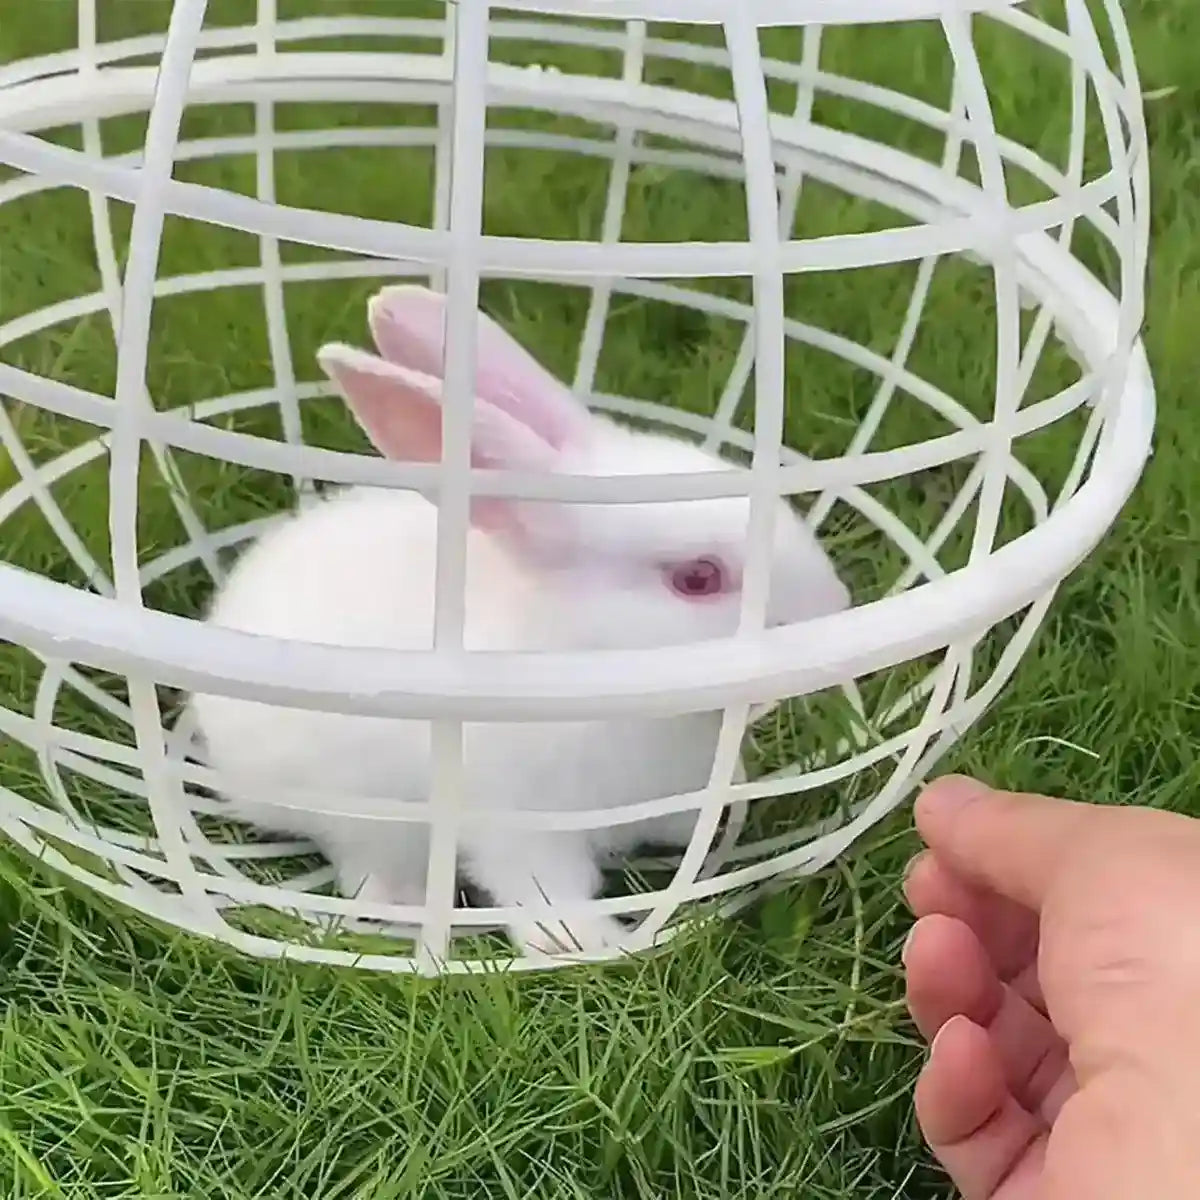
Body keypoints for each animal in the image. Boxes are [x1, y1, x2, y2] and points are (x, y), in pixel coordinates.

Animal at [188, 284, 851, 956]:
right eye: (697, 578)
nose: (836, 605)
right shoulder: (521, 825)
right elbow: (543, 887)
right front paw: (581, 943)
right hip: (352, 806)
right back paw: (399, 906)